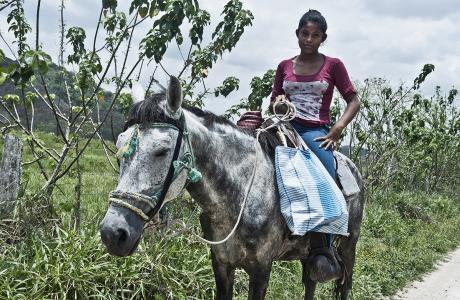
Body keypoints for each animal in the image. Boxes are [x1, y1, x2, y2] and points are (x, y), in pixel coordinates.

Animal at [99, 76, 362, 298]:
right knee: (310, 282)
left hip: (349, 246)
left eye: (162, 151)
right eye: (119, 150)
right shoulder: (221, 264)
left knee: (344, 283)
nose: (113, 234)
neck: (242, 192)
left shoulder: (261, 270)